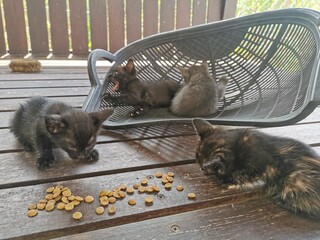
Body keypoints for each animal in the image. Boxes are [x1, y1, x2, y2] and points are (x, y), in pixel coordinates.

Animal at [192, 118, 320, 219]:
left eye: (203, 167)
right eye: (197, 157)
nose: (202, 169)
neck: (236, 146)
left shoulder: (252, 168)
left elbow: (241, 177)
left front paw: (228, 182)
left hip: (294, 180)